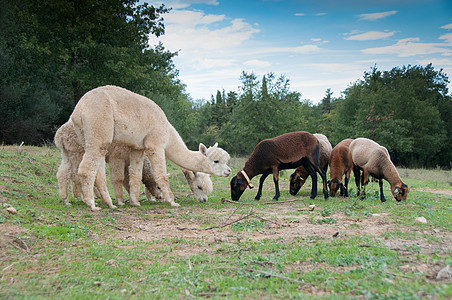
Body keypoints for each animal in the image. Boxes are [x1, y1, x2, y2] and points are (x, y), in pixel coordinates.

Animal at [71, 85, 233, 210]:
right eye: (216, 161)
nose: (229, 171)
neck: (168, 133)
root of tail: (79, 108)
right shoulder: (155, 144)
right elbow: (161, 175)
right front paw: (172, 202)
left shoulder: (137, 148)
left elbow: (135, 175)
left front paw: (135, 202)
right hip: (99, 127)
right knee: (85, 169)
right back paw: (92, 205)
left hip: (86, 137)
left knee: (97, 172)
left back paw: (110, 203)